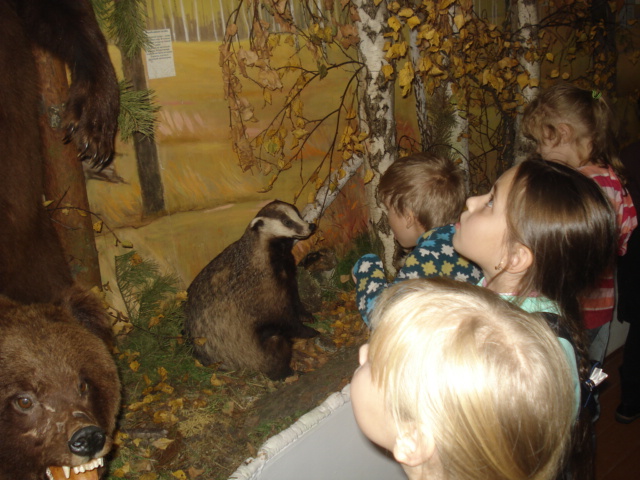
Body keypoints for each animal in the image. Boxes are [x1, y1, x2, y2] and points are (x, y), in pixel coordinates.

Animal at [184, 200, 320, 380]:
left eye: (298, 214)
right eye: (287, 222)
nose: (310, 226)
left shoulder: (287, 272)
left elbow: (294, 296)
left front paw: (307, 315)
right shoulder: (264, 290)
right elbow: (284, 317)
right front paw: (309, 331)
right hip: (250, 353)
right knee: (275, 345)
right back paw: (287, 371)